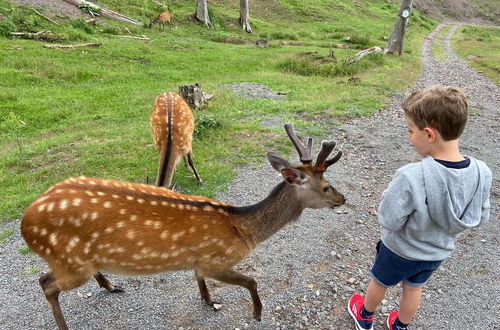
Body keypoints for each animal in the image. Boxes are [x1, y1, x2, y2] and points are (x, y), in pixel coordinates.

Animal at [21, 122, 346, 328]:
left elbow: (198, 278)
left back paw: (111, 285)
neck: (242, 231)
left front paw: (209, 300)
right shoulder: (217, 261)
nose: (342, 198)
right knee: (45, 283)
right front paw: (256, 313)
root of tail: (25, 222)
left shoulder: (199, 259)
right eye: (326, 186)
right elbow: (252, 281)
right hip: (71, 265)